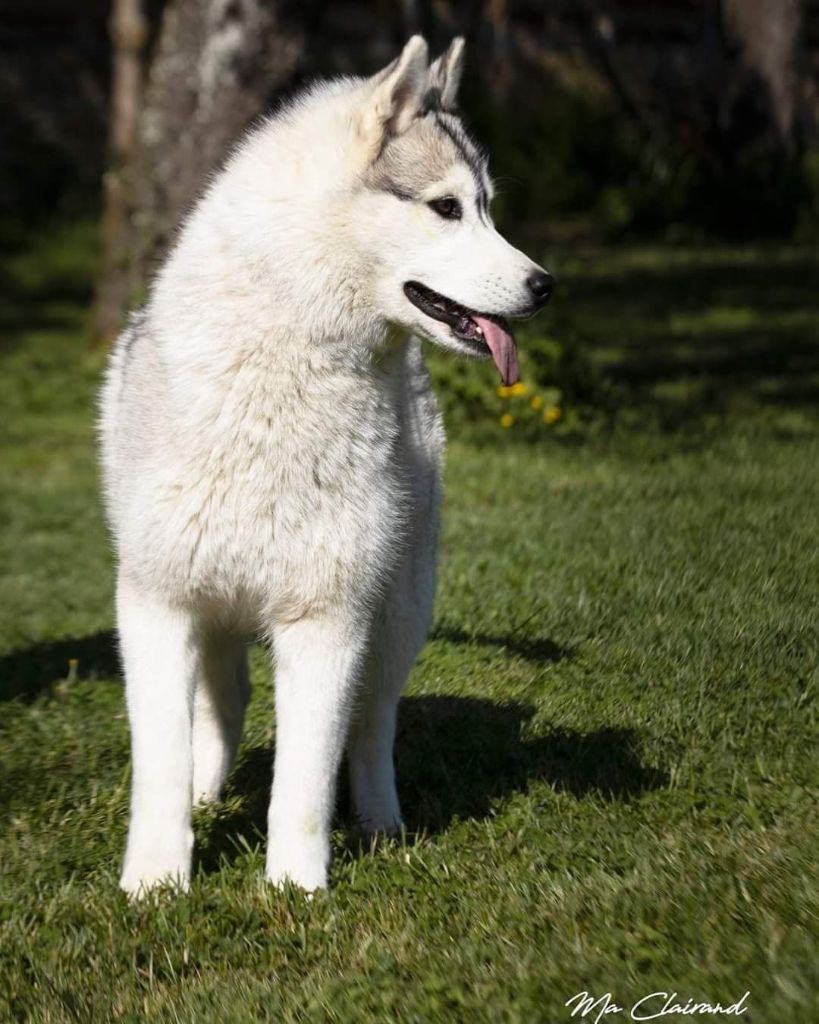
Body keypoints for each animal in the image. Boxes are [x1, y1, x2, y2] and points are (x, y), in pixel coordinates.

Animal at [99, 36, 552, 892]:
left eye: (487, 208)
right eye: (447, 208)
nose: (544, 285)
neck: (285, 365)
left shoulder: (327, 618)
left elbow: (306, 777)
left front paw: (295, 890)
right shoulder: (157, 605)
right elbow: (163, 762)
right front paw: (155, 884)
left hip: (397, 613)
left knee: (371, 727)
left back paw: (381, 822)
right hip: (221, 609)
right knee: (225, 701)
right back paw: (210, 796)